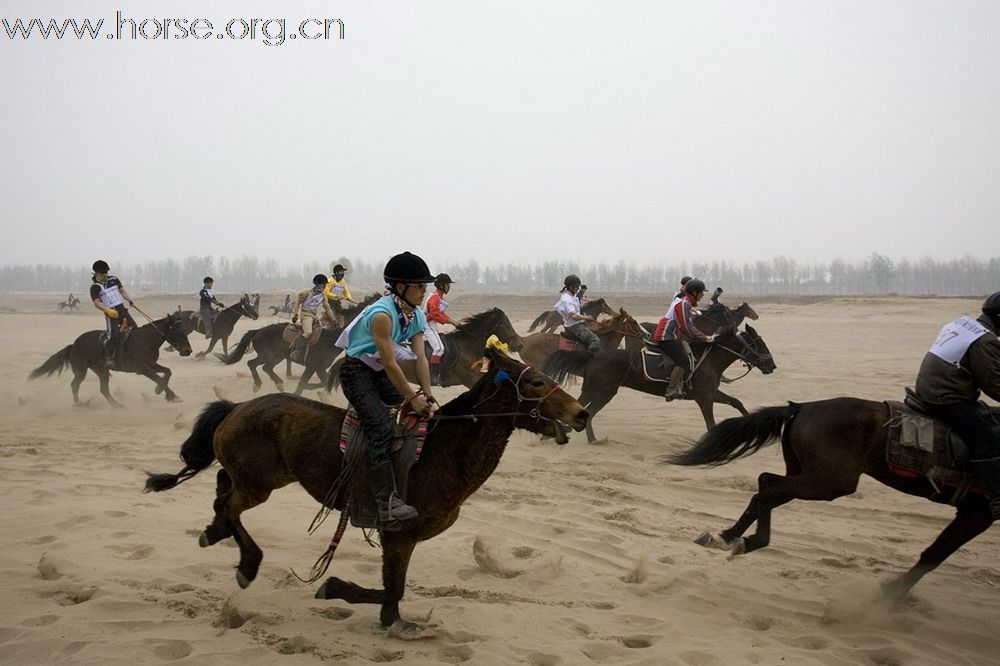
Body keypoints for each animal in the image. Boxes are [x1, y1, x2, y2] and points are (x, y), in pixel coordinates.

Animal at [27, 312, 191, 402]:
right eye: (178, 330)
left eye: (185, 329)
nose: (188, 350)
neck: (146, 339)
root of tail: (74, 345)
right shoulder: (142, 368)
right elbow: (159, 378)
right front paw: (172, 396)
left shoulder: (151, 364)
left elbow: (168, 372)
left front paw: (159, 391)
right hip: (82, 370)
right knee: (75, 385)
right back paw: (79, 405)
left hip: (101, 370)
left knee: (103, 389)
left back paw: (117, 405)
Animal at [145, 348, 588, 632]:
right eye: (536, 382)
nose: (581, 413)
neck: (440, 449)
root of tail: (237, 407)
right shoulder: (398, 534)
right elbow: (393, 589)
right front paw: (336, 589)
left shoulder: (403, 539)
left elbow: (393, 594)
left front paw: (389, 618)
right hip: (259, 484)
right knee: (229, 504)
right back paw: (247, 562)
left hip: (261, 477)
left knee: (222, 492)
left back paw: (214, 532)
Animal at [544, 324, 776, 438]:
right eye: (760, 344)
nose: (772, 366)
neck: (709, 359)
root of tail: (593, 356)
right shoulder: (704, 398)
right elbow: (711, 424)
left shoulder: (711, 393)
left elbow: (737, 402)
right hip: (601, 391)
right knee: (586, 411)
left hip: (601, 391)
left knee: (585, 412)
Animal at [664, 396, 1000, 600]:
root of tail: (801, 407)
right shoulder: (978, 513)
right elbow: (935, 554)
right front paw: (890, 597)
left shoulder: (974, 513)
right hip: (827, 483)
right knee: (768, 487)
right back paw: (748, 540)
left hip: (811, 476)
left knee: (766, 486)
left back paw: (728, 536)